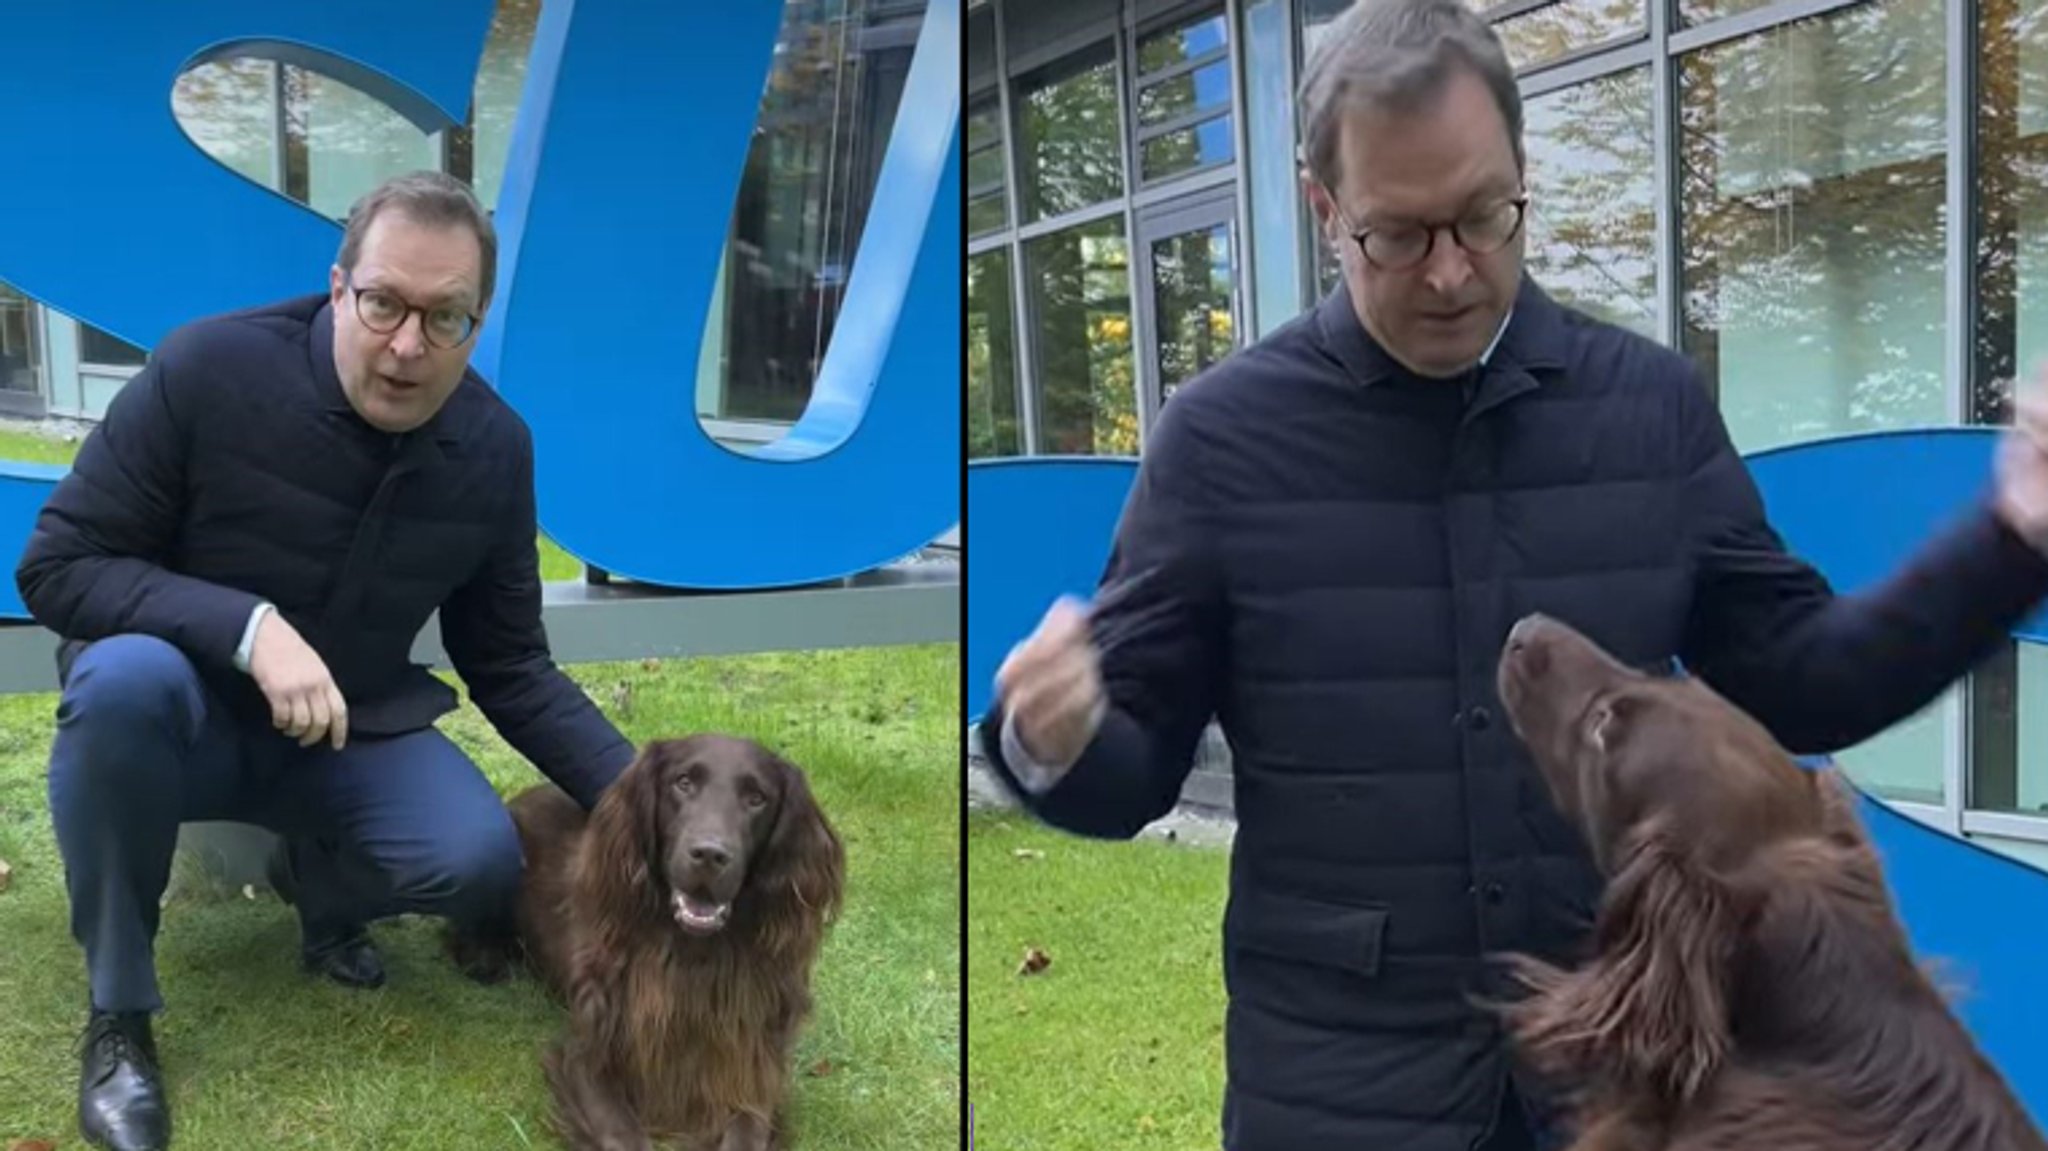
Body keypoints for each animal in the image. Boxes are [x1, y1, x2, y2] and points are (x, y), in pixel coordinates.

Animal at [456, 733, 847, 1146]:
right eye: (684, 782)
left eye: (757, 798)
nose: (709, 854)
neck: (695, 954)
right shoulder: (589, 1056)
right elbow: (623, 1135)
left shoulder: (752, 1067)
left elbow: (747, 1130)